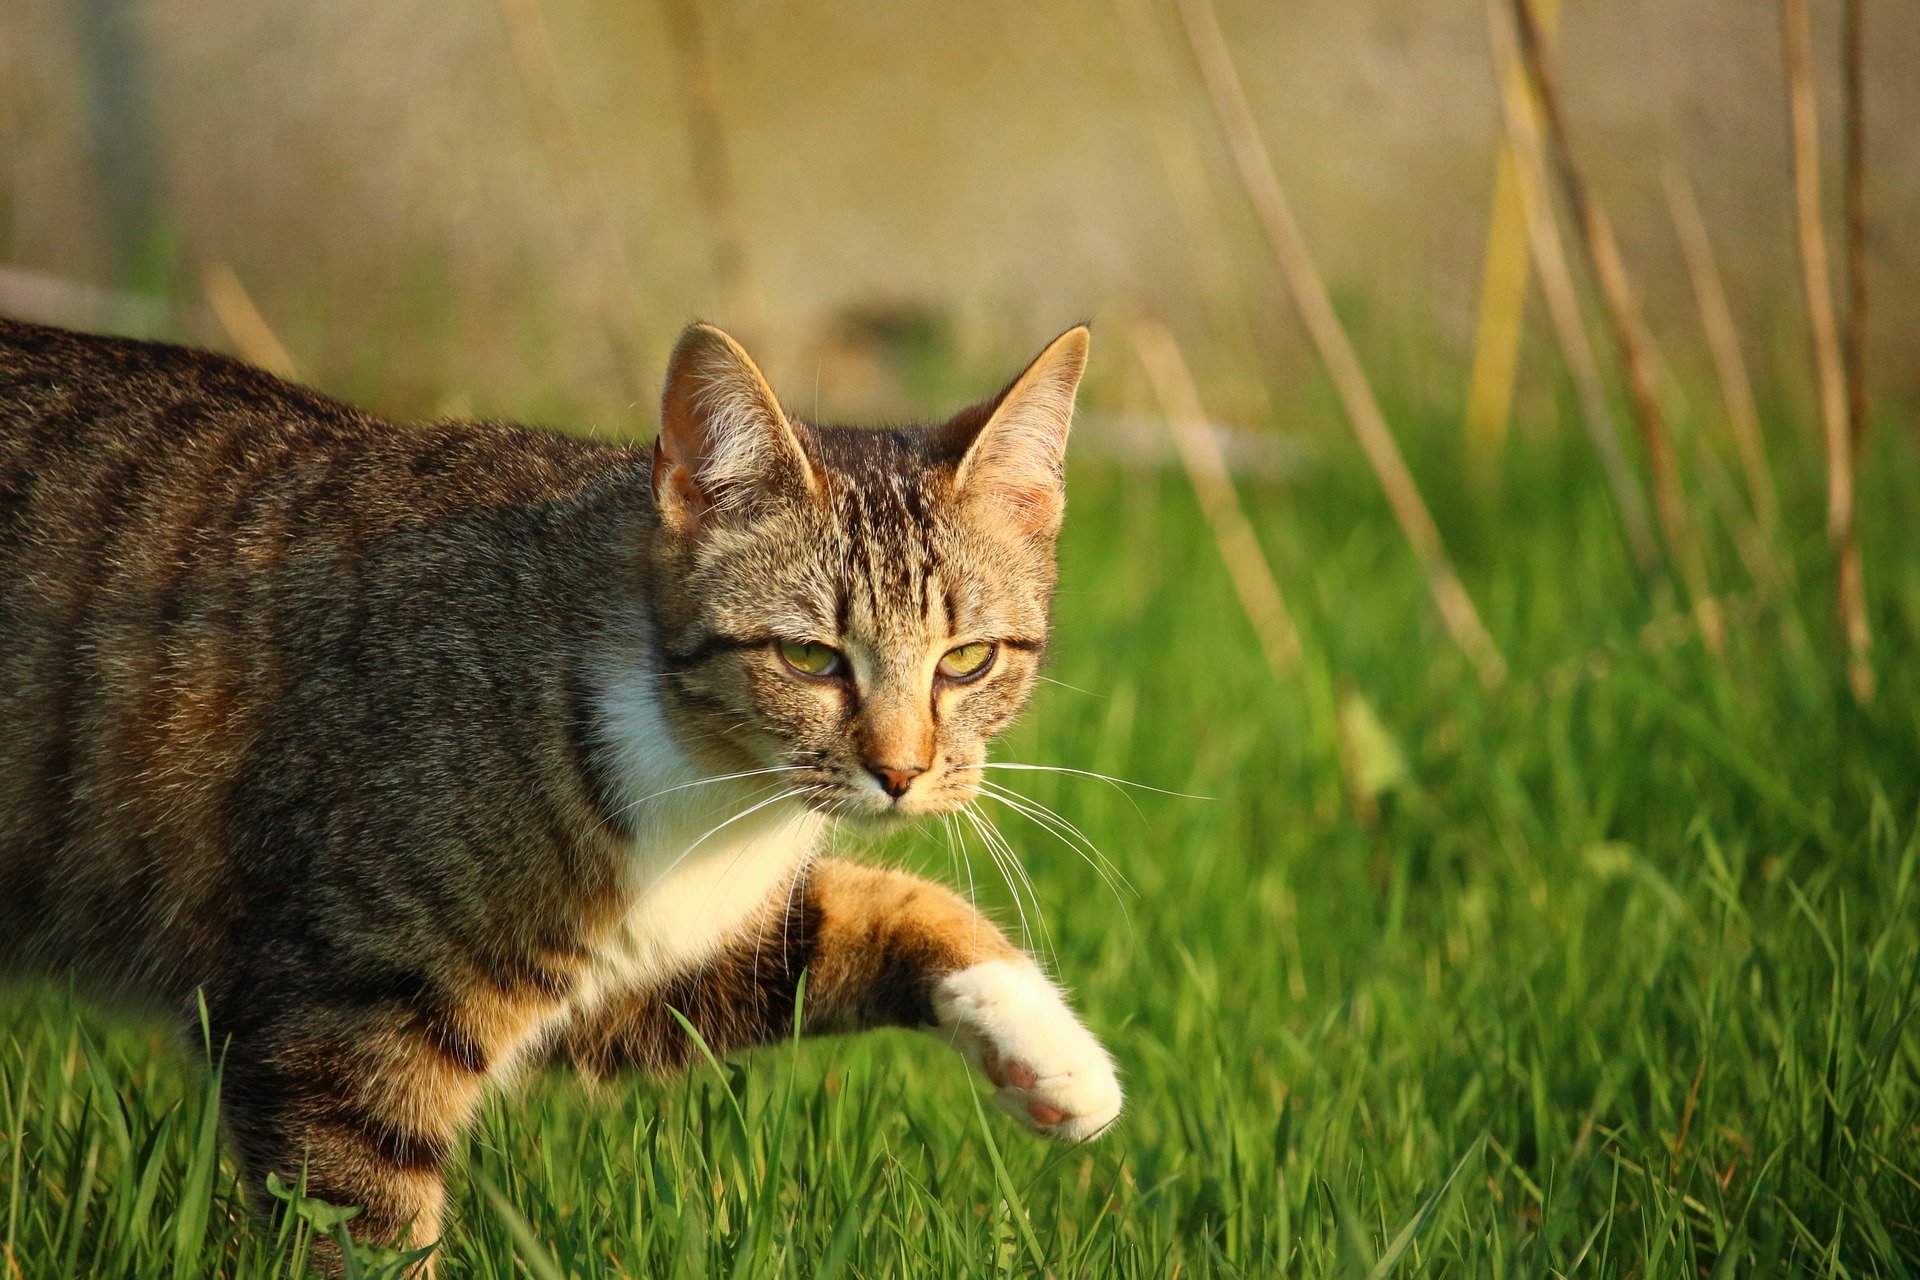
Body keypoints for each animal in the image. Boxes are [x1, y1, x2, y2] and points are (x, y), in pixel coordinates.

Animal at [0, 318, 1121, 1258]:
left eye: (967, 660)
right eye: (809, 657)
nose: (901, 773)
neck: (713, 783)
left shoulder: (640, 966)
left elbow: (858, 915)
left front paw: (1052, 1049)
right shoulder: (338, 1017)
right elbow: (368, 1230)